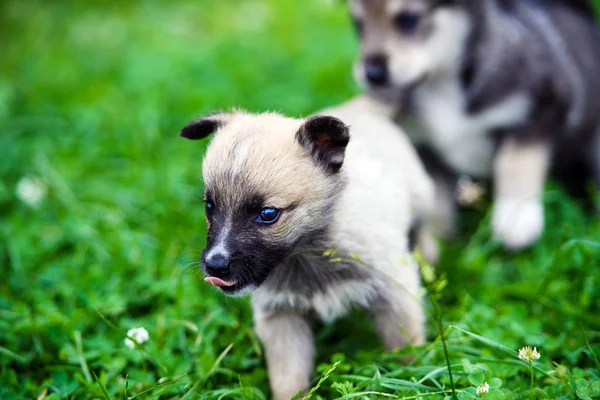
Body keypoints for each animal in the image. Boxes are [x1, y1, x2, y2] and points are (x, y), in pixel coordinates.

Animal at [180, 97, 434, 400]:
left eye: (268, 213)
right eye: (209, 206)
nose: (215, 266)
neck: (308, 252)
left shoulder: (394, 291)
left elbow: (406, 348)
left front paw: (411, 379)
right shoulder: (282, 317)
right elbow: (289, 377)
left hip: (421, 199)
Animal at [350, 0, 600, 248]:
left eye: (409, 19)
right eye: (358, 25)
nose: (372, 74)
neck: (442, 86)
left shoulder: (543, 106)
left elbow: (518, 160)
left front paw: (516, 215)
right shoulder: (424, 146)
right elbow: (437, 200)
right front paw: (431, 245)